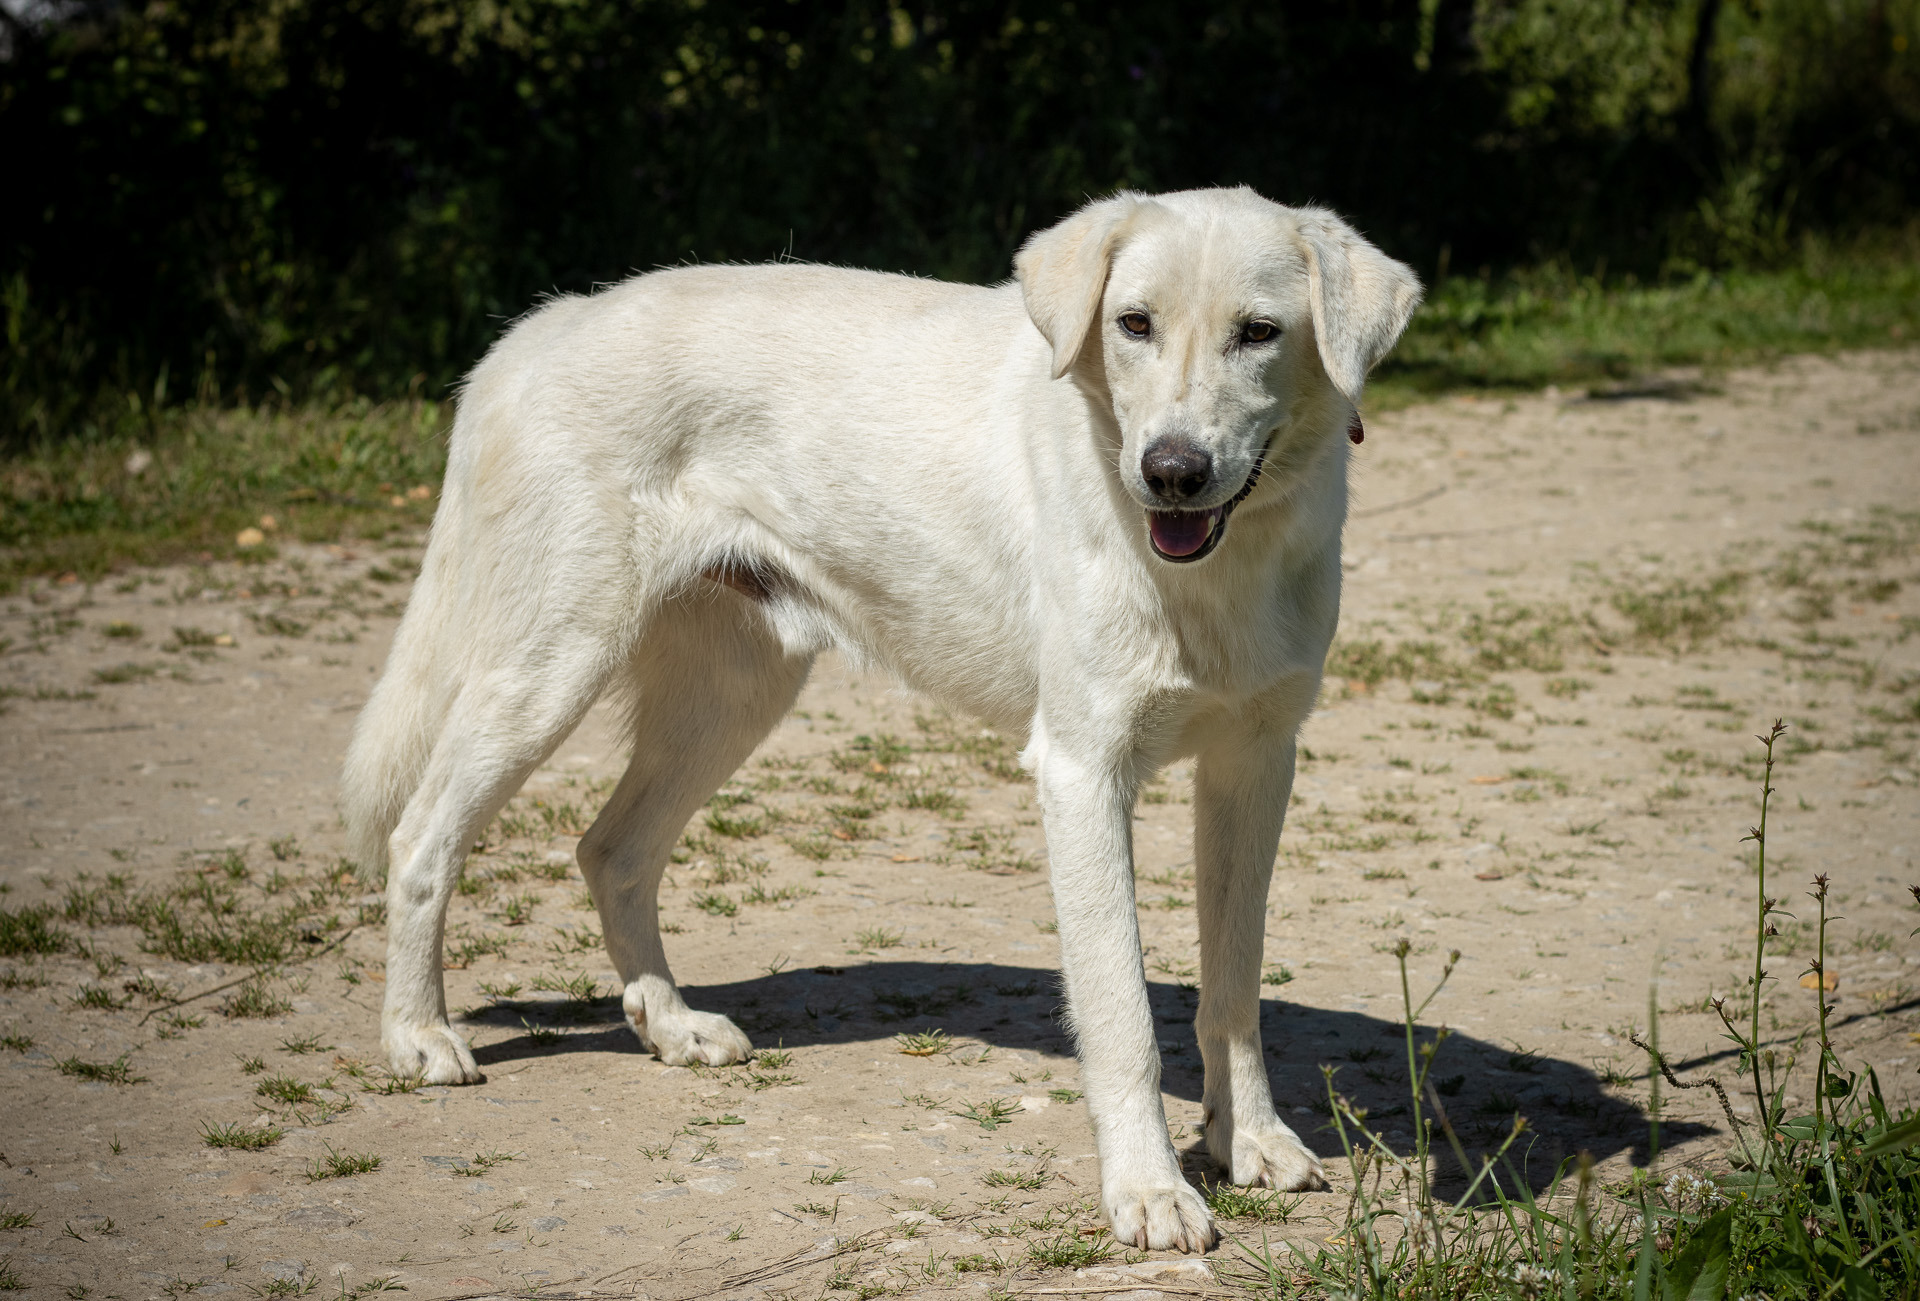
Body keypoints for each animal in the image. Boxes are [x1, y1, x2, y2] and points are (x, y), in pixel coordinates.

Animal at [341, 186, 1428, 1251]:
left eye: (1259, 332)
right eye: (1134, 324)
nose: (1170, 471)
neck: (1214, 571)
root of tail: (544, 325)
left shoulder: (1256, 766)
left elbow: (1232, 992)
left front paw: (1251, 1142)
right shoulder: (1082, 773)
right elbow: (1122, 1017)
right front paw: (1149, 1191)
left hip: (729, 700)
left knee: (611, 849)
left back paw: (671, 1023)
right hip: (546, 672)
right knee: (421, 838)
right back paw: (417, 1035)